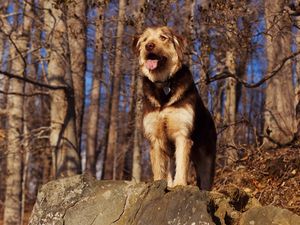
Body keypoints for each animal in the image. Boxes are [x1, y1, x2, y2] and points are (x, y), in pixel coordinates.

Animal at [133, 25, 216, 190]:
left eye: (163, 37)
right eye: (144, 40)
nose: (148, 46)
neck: (164, 83)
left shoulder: (182, 134)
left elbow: (182, 164)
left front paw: (180, 184)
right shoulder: (155, 138)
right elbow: (159, 169)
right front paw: (159, 184)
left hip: (206, 159)